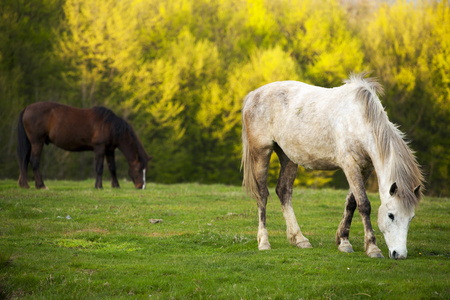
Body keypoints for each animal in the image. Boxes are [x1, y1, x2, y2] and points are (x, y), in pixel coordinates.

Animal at [17, 102, 151, 189]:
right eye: (139, 169)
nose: (141, 186)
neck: (110, 126)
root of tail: (27, 108)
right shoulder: (99, 148)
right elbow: (99, 167)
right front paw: (99, 186)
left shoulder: (109, 150)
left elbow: (112, 167)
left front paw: (116, 186)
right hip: (37, 142)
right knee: (34, 161)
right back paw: (41, 185)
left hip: (31, 143)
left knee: (24, 161)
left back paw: (26, 184)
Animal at [241, 72, 424, 258]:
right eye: (391, 215)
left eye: (411, 218)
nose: (399, 254)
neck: (359, 119)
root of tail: (252, 95)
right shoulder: (350, 165)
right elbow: (363, 204)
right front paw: (372, 248)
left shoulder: (366, 168)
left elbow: (351, 202)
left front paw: (343, 240)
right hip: (261, 153)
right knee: (262, 195)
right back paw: (264, 242)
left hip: (288, 157)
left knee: (284, 191)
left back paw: (299, 239)